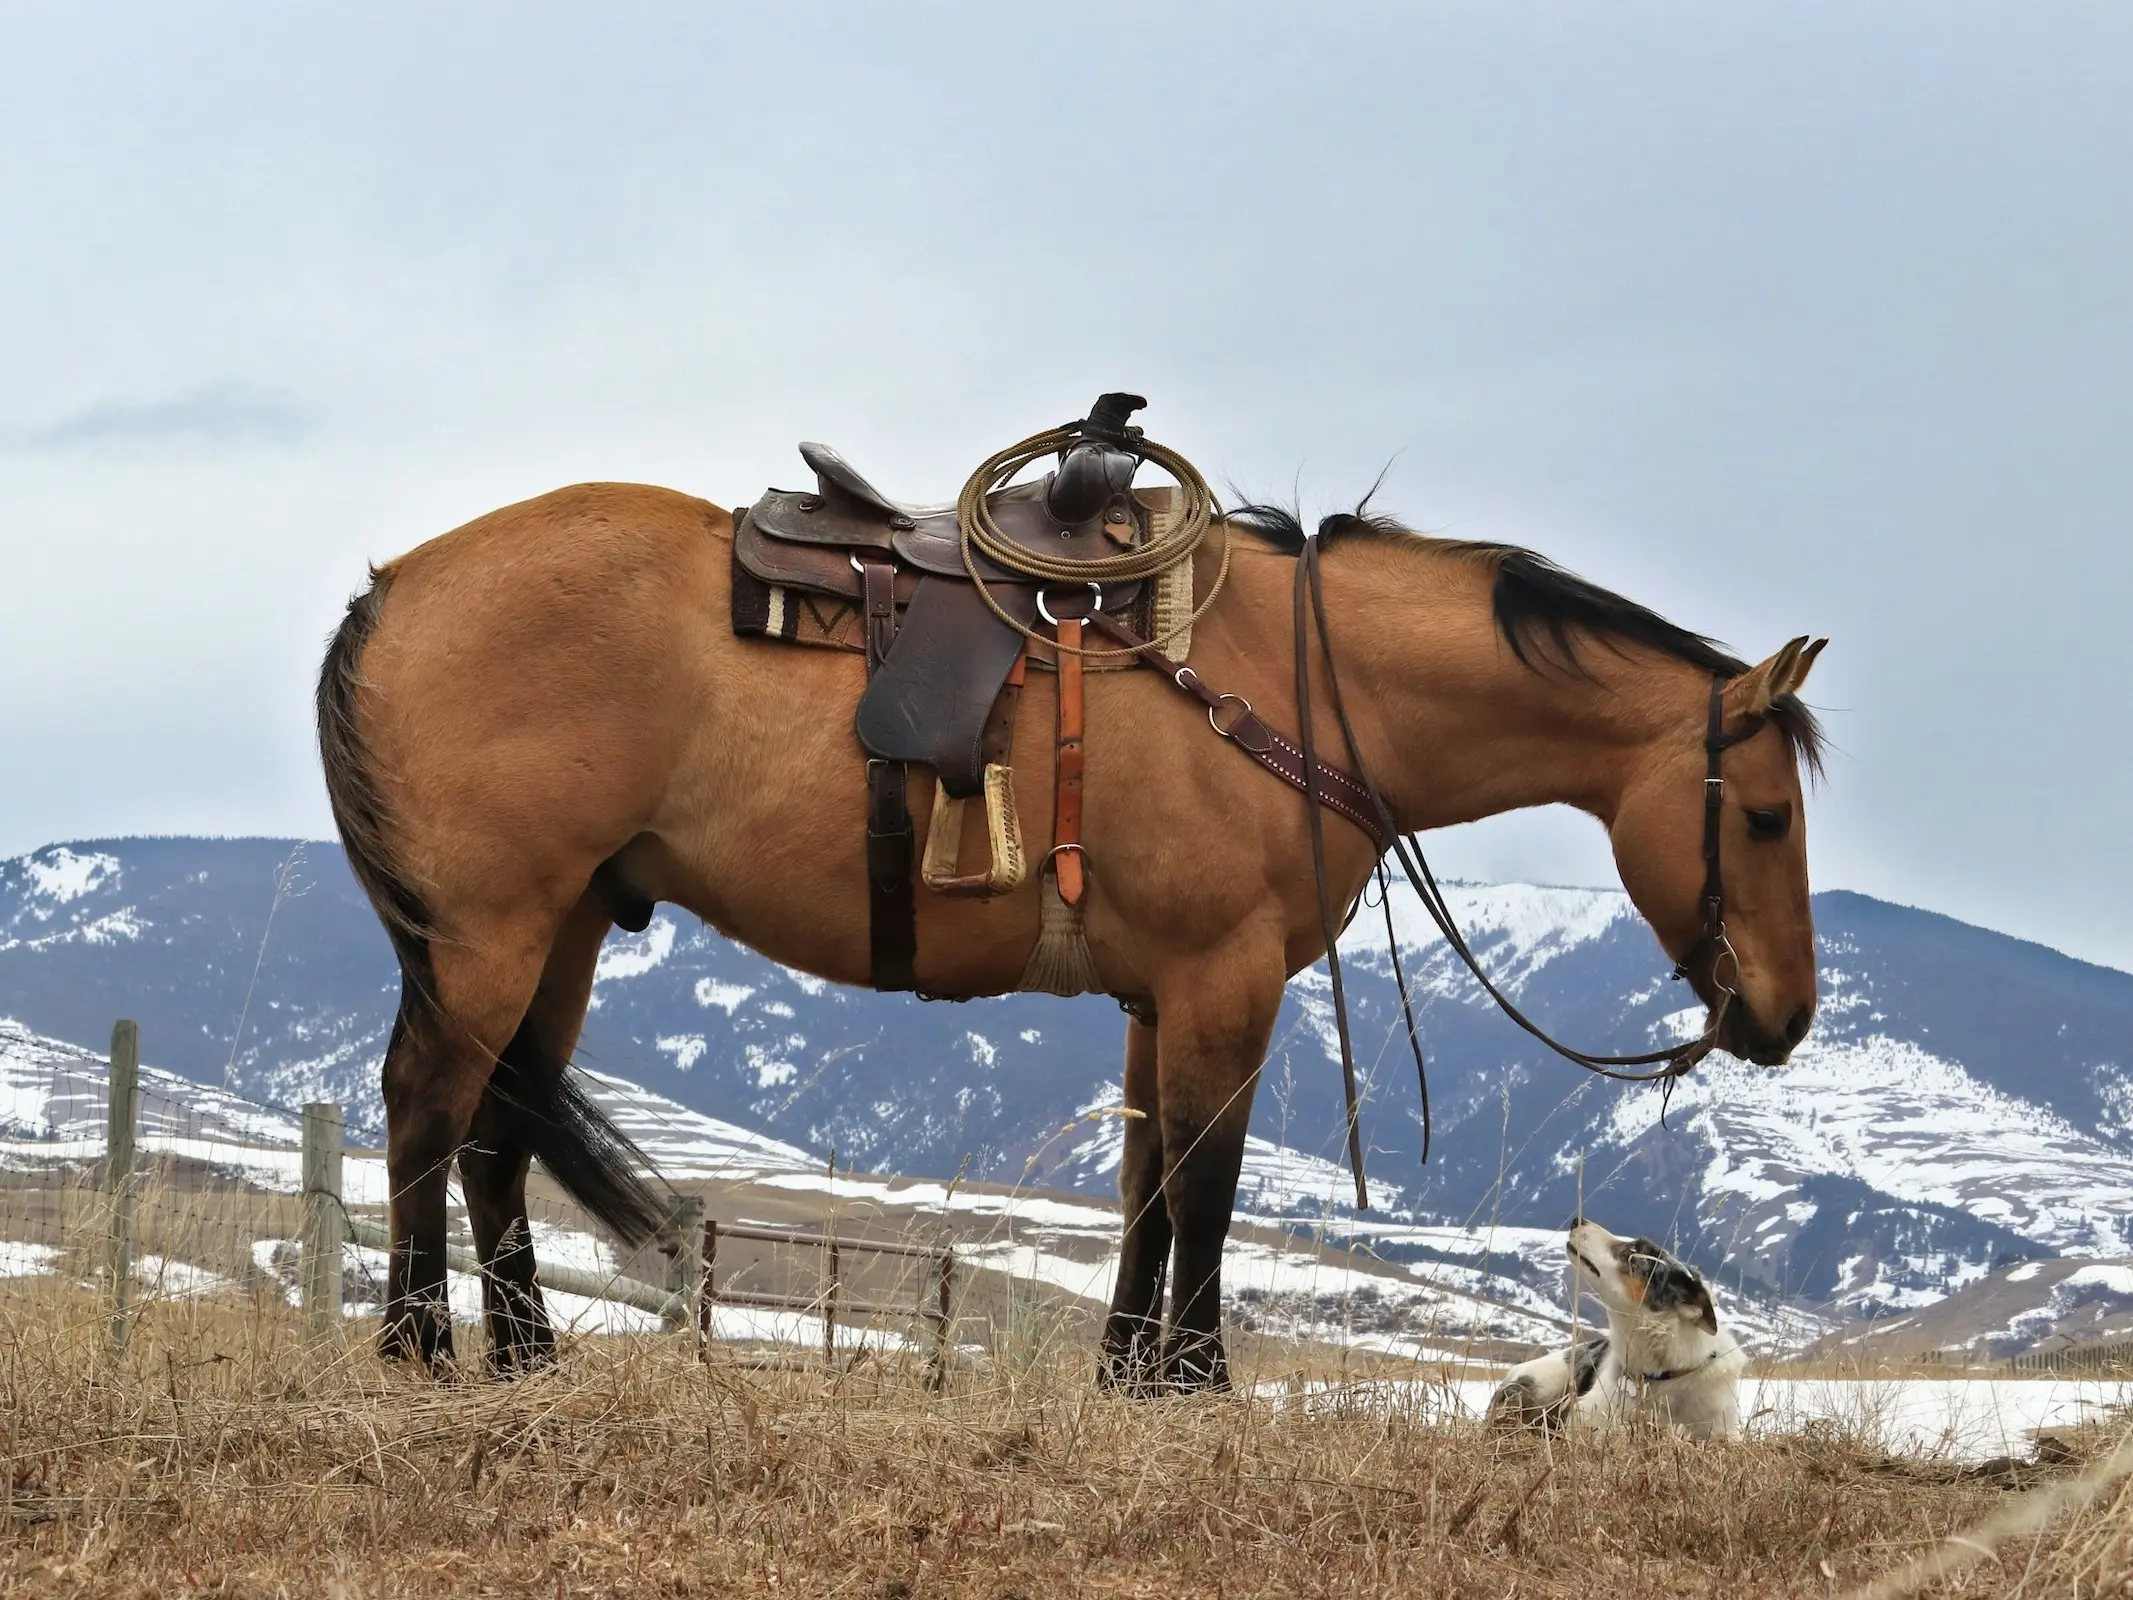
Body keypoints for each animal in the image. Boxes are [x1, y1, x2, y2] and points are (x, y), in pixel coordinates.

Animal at [319, 398, 1834, 1390]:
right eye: (1764, 815)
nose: (1782, 1016)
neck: (1291, 684)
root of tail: (393, 586)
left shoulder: (1160, 996)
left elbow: (1148, 1189)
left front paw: (1123, 1374)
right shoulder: (1225, 981)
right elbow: (1208, 1183)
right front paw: (1196, 1380)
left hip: (563, 925)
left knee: (495, 1130)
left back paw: (525, 1354)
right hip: (490, 930)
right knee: (426, 1106)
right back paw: (420, 1344)